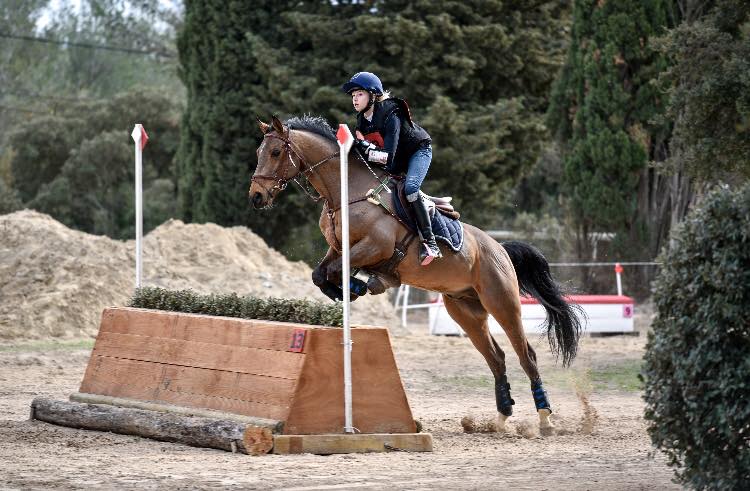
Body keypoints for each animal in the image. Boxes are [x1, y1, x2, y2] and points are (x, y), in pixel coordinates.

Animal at [250, 115, 584, 434]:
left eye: (276, 152)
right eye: (258, 152)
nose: (256, 197)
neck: (346, 194)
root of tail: (499, 248)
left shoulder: (375, 246)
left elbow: (335, 270)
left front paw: (358, 286)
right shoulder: (338, 248)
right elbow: (320, 274)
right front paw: (350, 289)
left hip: (503, 302)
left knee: (526, 355)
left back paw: (544, 418)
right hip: (465, 311)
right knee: (497, 357)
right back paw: (501, 418)